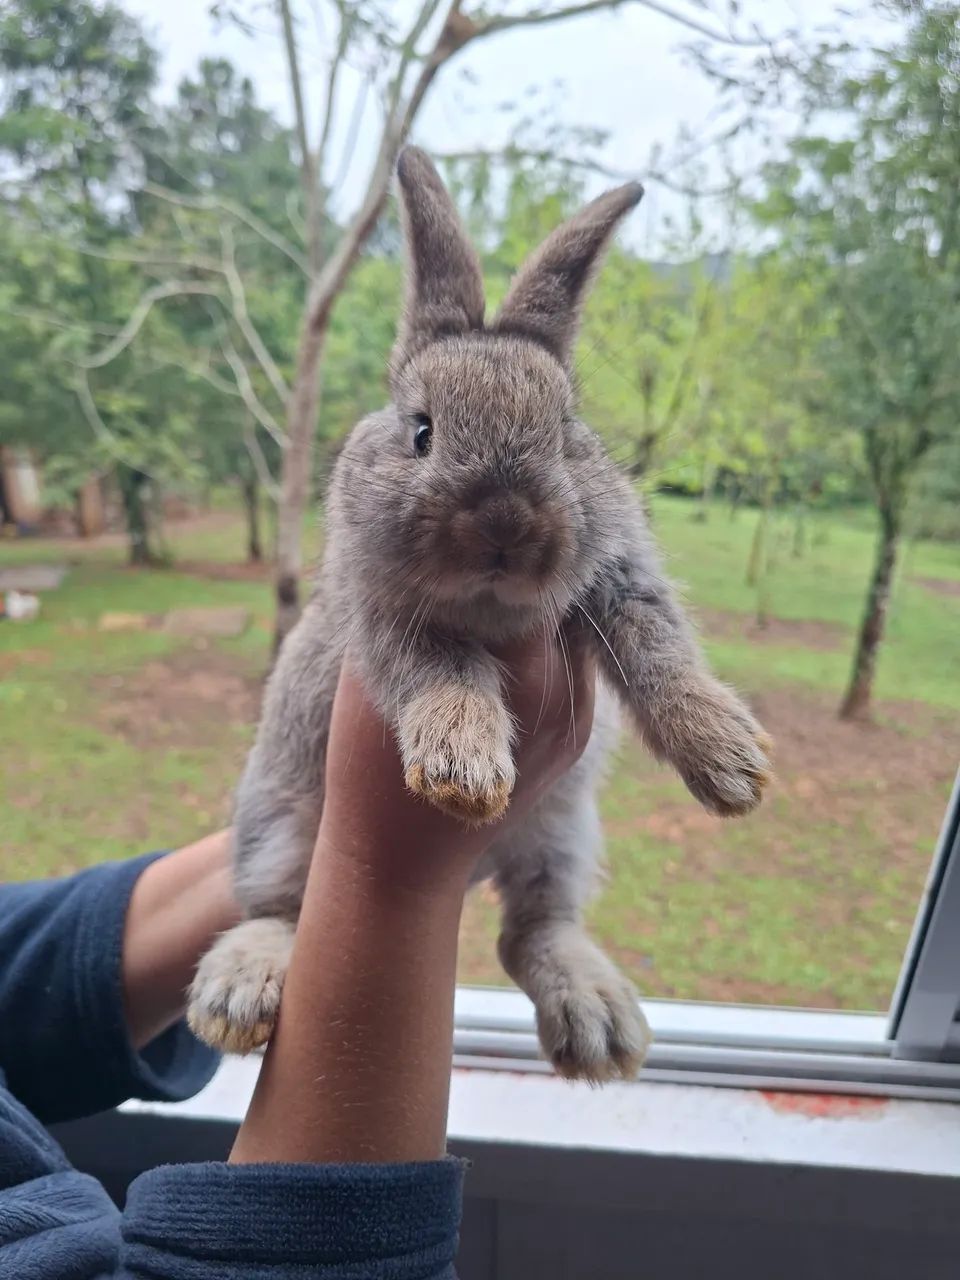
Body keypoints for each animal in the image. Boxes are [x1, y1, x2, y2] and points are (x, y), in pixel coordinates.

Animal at [187, 147, 772, 1083]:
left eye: (566, 431)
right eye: (422, 430)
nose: (506, 524)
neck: (496, 609)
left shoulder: (623, 580)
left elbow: (663, 652)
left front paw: (730, 768)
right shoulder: (382, 619)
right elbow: (442, 671)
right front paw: (463, 771)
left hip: (563, 835)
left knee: (533, 929)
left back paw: (598, 1021)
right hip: (276, 824)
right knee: (278, 910)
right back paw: (238, 992)